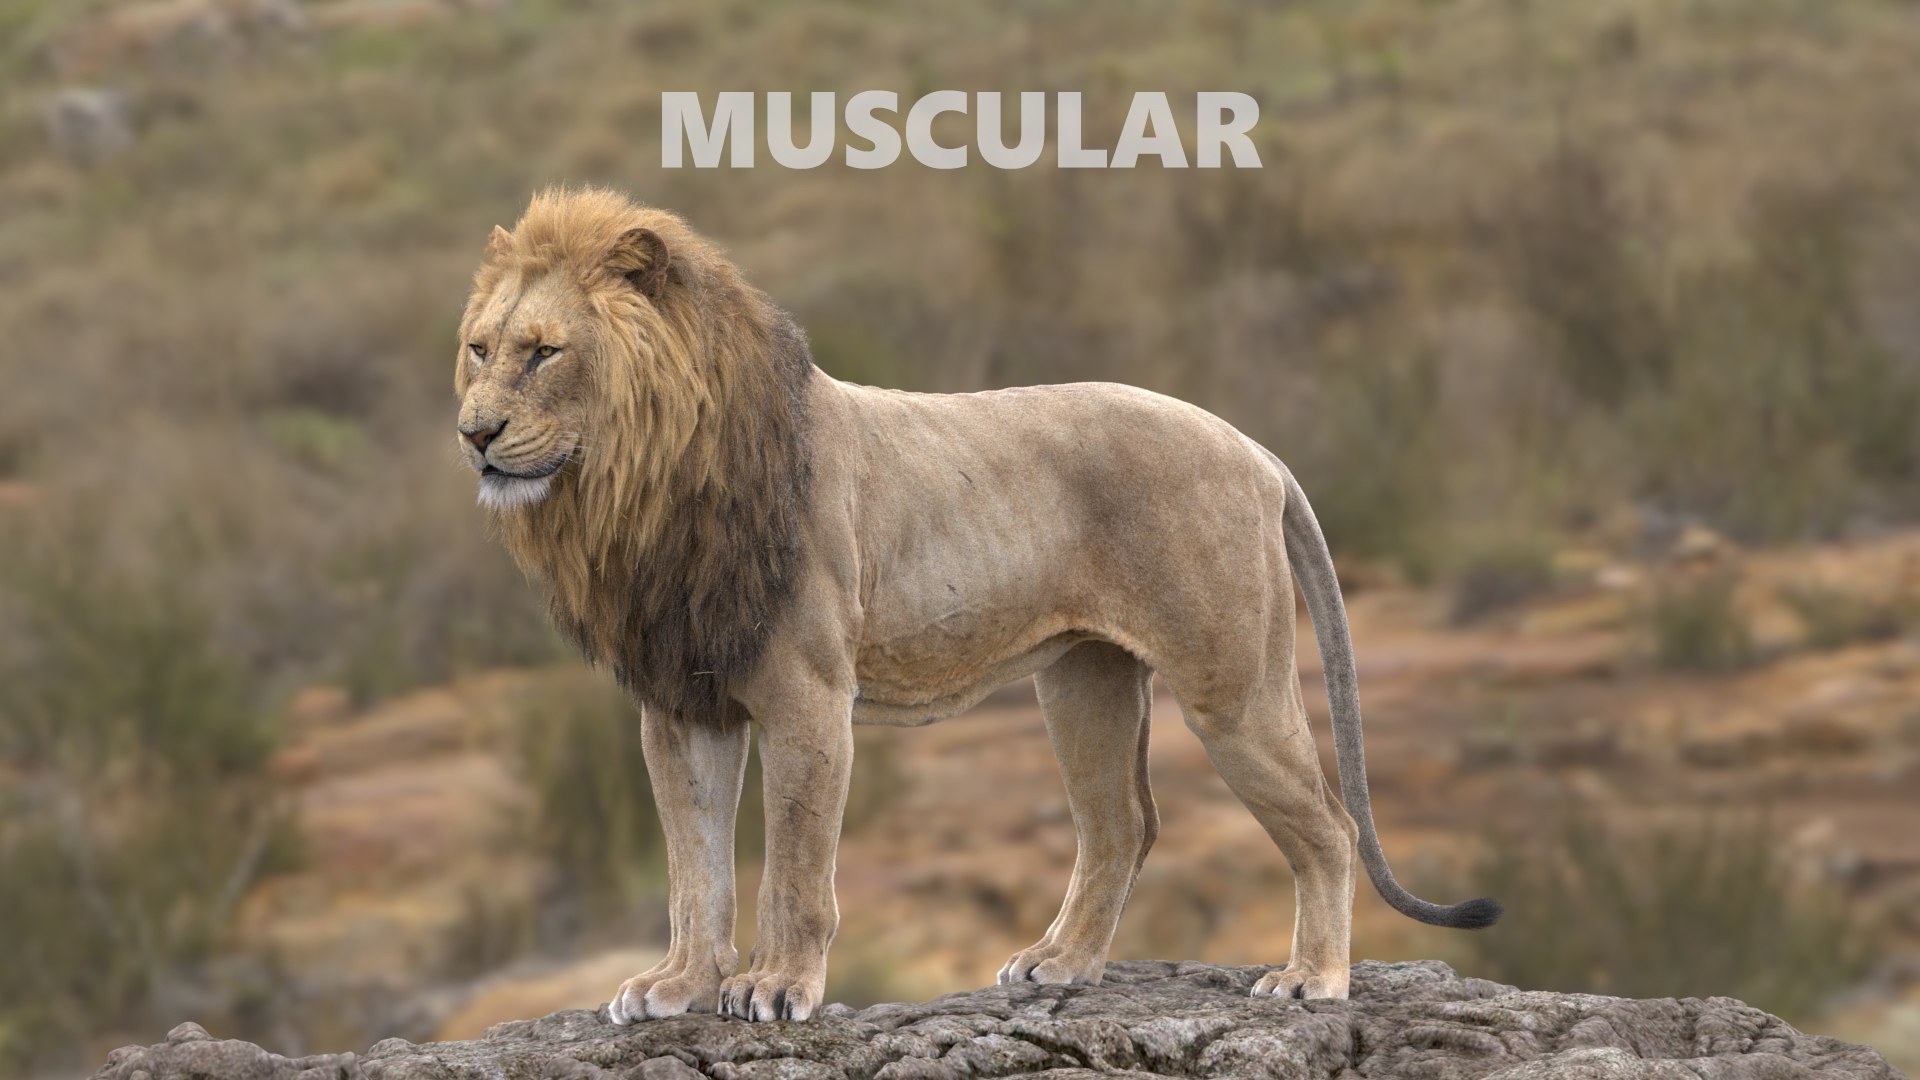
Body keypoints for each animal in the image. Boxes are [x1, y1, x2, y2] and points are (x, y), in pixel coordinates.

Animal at [454, 188, 1499, 1023]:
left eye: (544, 354)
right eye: (479, 349)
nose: (474, 433)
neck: (640, 489)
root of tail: (1252, 445)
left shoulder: (807, 695)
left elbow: (795, 865)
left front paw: (777, 988)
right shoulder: (681, 703)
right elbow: (693, 866)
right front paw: (677, 986)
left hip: (1229, 685)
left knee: (1326, 825)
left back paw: (1312, 979)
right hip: (1083, 681)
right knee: (1122, 824)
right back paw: (1060, 965)